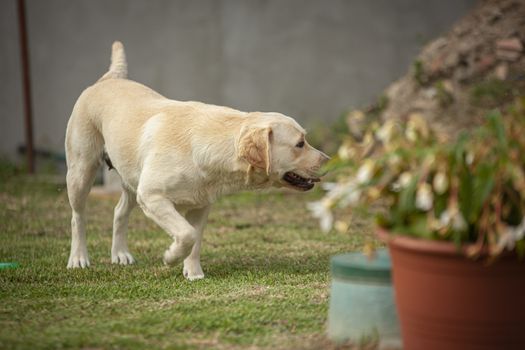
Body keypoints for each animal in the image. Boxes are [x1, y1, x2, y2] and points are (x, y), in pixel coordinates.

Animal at [65, 41, 328, 282]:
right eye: (300, 143)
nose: (327, 159)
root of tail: (108, 79)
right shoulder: (152, 196)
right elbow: (187, 234)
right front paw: (171, 256)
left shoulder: (200, 205)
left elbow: (196, 238)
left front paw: (192, 272)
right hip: (82, 171)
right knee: (78, 217)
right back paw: (78, 258)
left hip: (132, 180)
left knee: (119, 212)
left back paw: (120, 254)